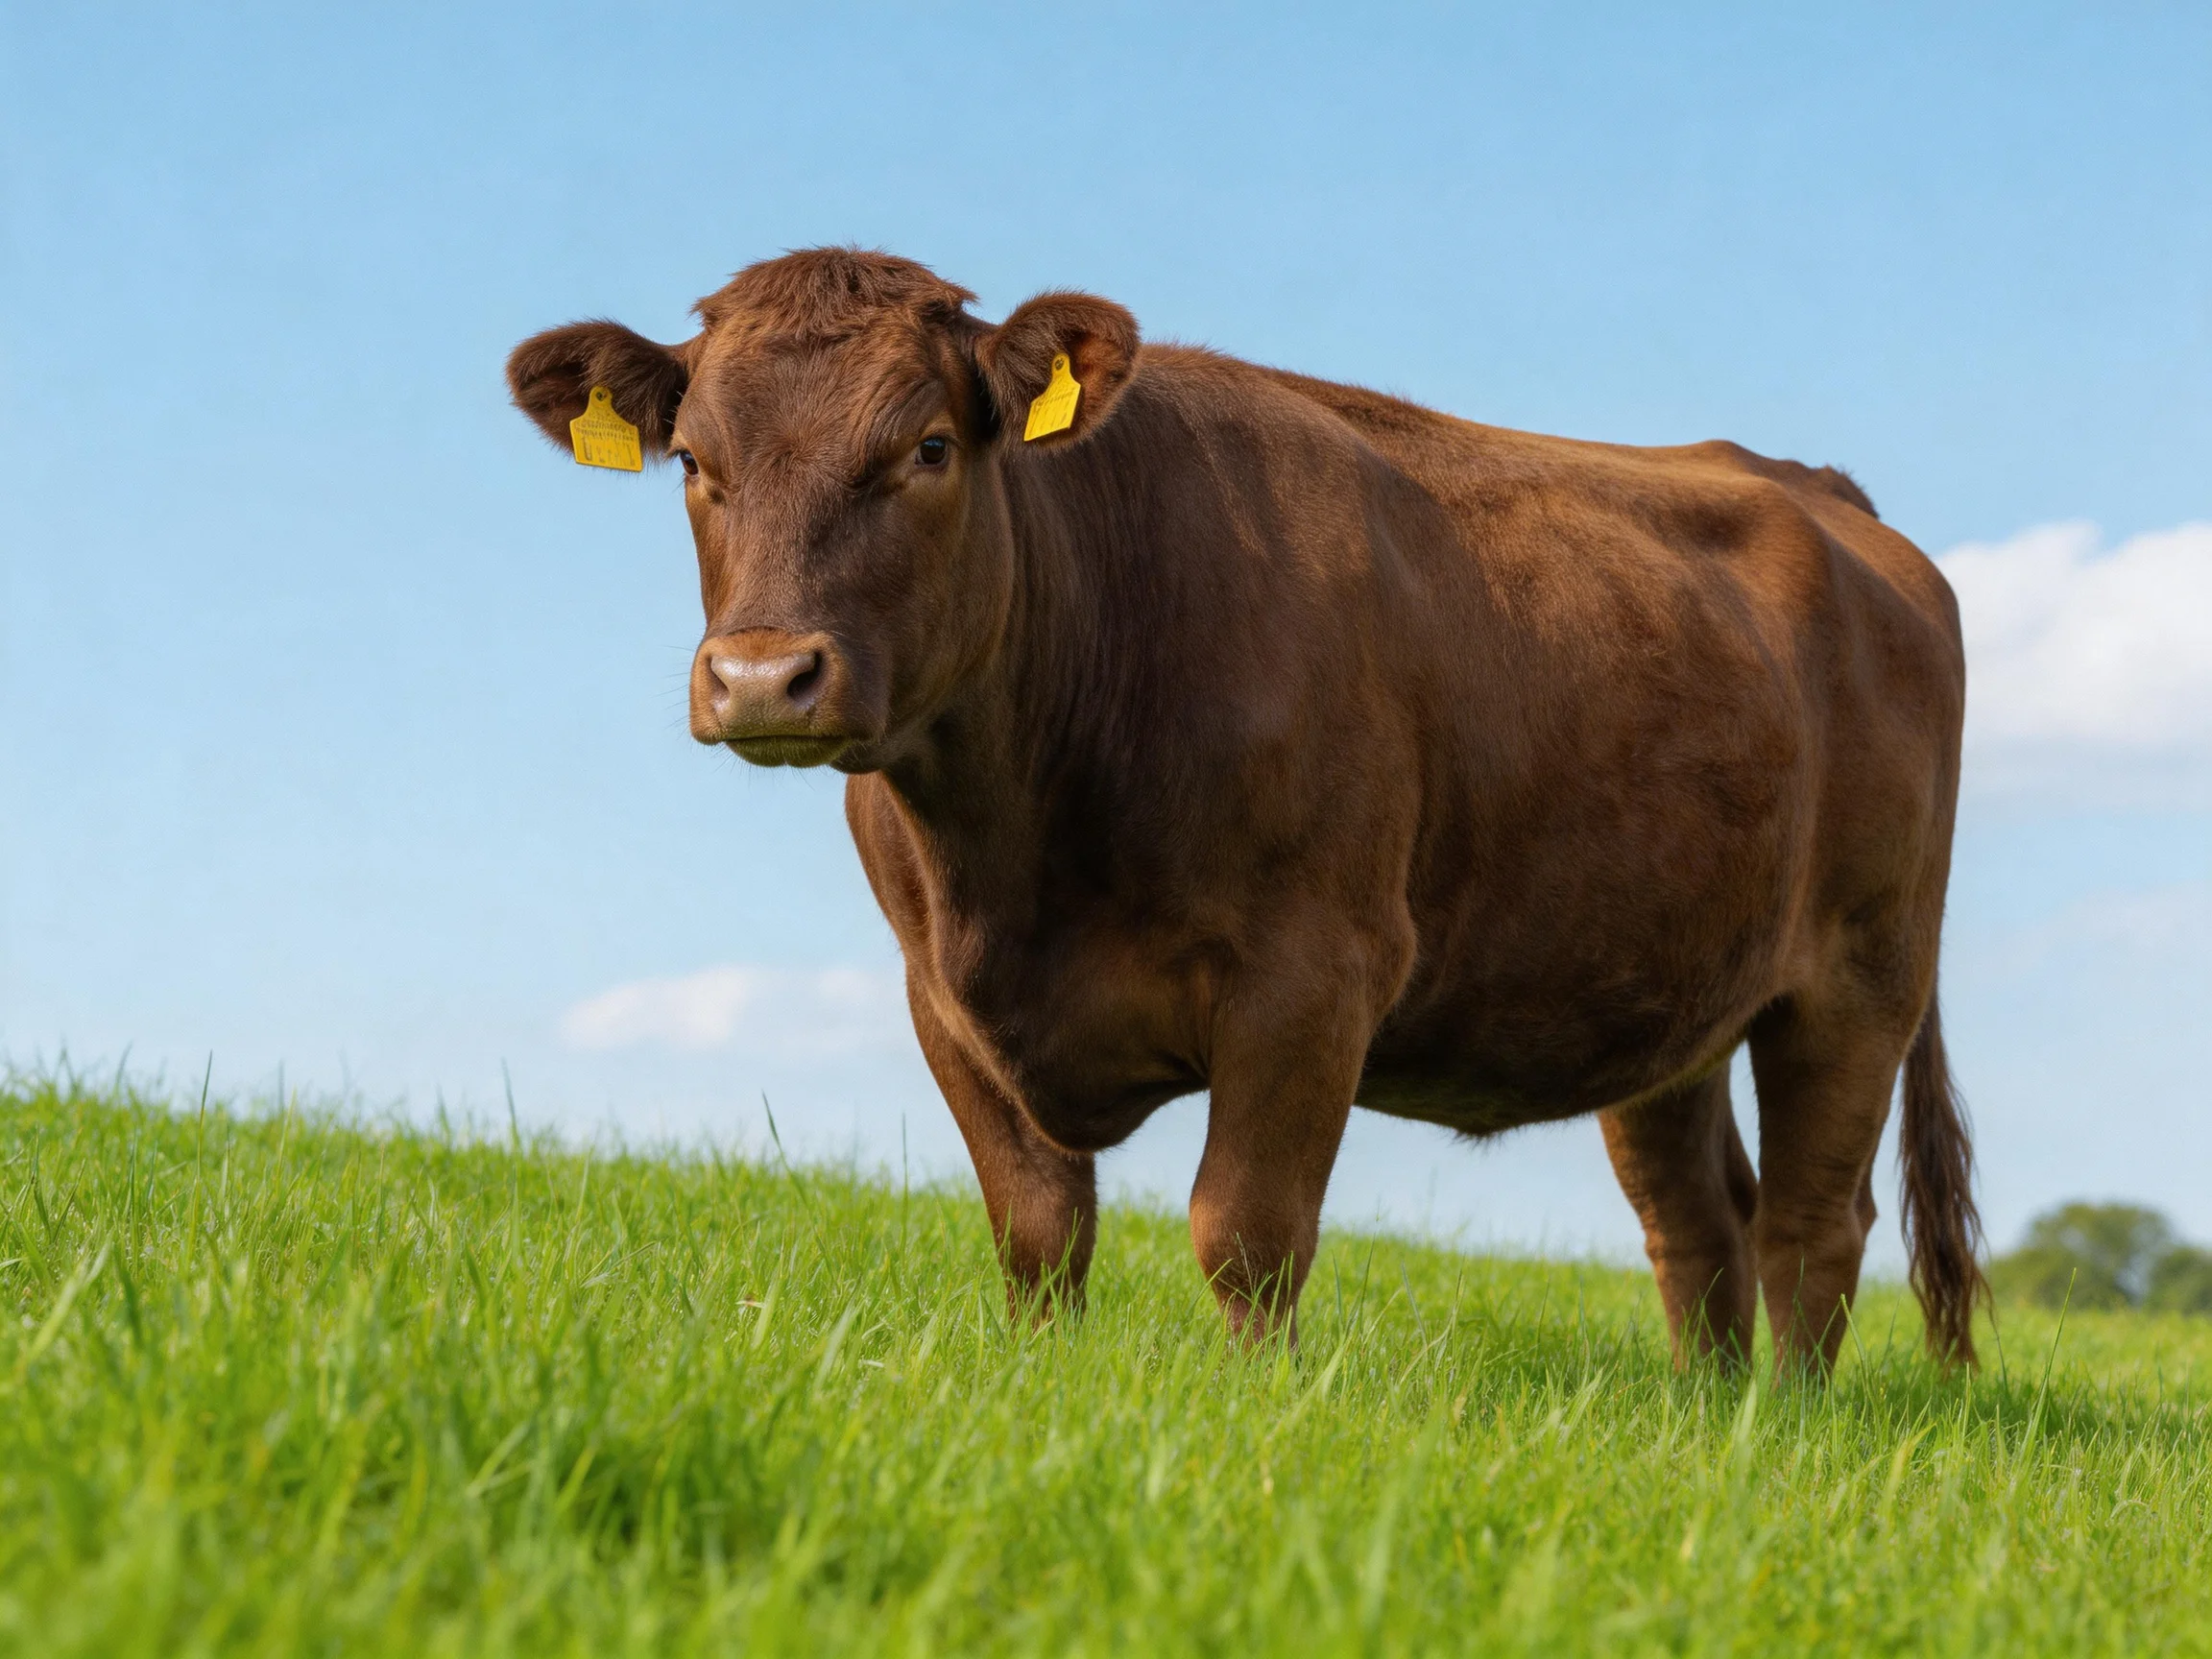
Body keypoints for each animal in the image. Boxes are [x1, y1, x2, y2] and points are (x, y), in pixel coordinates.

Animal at [508, 247, 1985, 1374]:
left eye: (927, 447)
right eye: (692, 462)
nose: (765, 676)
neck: (1015, 854)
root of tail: (1809, 487)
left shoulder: (1312, 973)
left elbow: (1248, 1232)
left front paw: (1256, 1413)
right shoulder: (940, 993)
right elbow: (1039, 1230)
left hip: (1861, 972)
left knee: (1813, 1221)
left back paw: (1782, 1430)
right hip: (1663, 985)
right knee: (1697, 1218)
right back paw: (1704, 1415)